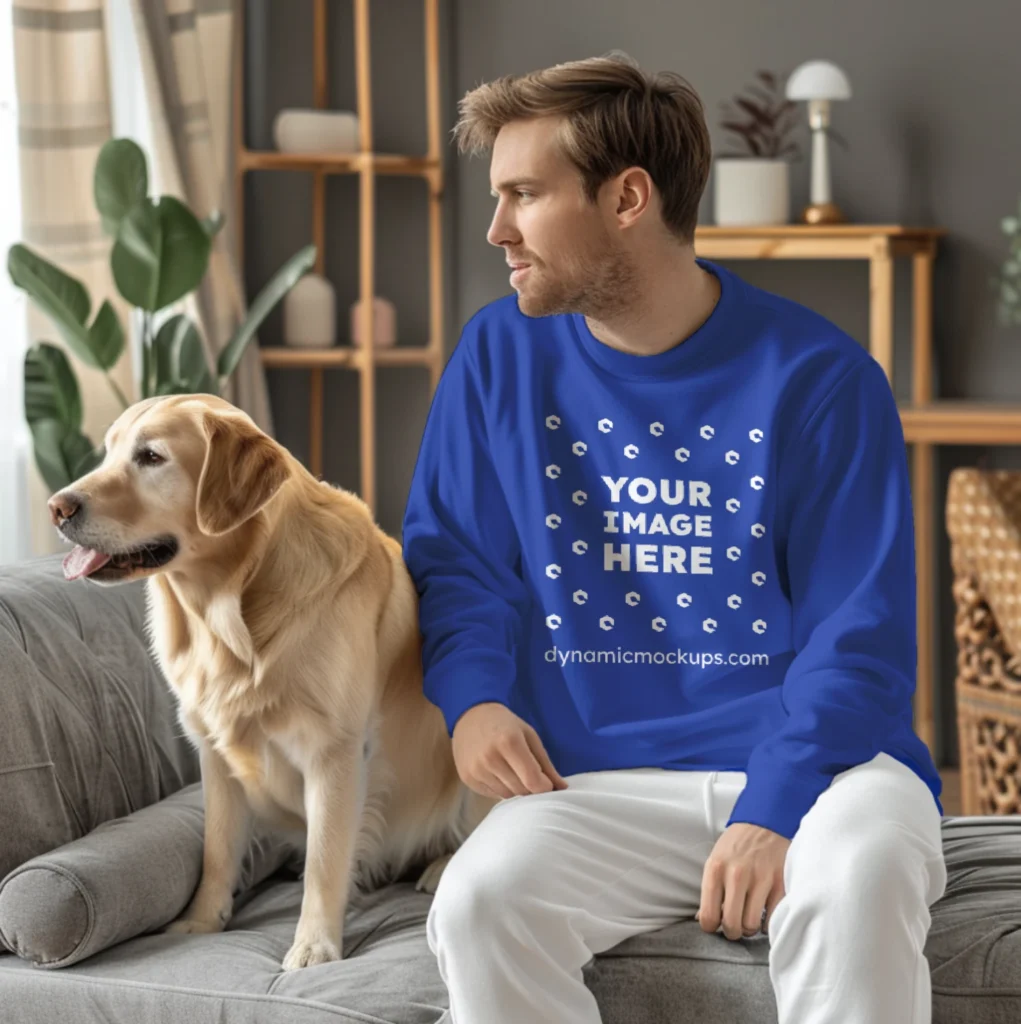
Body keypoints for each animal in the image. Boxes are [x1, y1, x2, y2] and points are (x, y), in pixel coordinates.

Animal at [47, 389, 493, 966]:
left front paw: (314, 945)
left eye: (150, 457)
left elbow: (326, 858)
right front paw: (202, 920)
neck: (230, 610)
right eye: (108, 452)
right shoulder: (214, 754)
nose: (57, 507)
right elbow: (217, 850)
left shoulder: (334, 752)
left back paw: (442, 867)